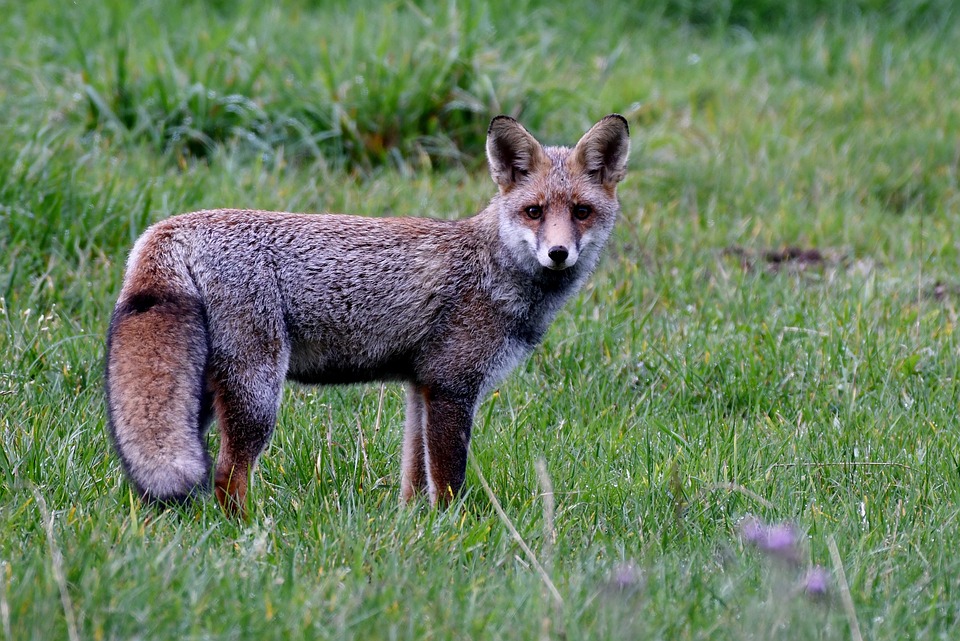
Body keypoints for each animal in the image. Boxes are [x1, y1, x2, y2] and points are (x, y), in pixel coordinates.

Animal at [105, 115, 632, 516]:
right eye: (534, 211)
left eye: (581, 211)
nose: (559, 254)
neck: (492, 268)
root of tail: (169, 227)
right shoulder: (452, 387)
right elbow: (449, 482)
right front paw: (453, 533)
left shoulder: (422, 387)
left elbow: (415, 479)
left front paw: (415, 528)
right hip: (257, 395)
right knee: (226, 475)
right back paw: (247, 530)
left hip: (201, 400)